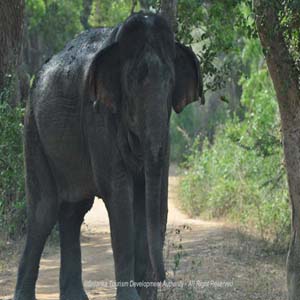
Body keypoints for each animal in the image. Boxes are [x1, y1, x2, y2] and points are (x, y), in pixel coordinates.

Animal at [14, 10, 204, 300]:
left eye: (171, 82)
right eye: (134, 81)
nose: (163, 279)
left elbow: (150, 193)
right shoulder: (98, 117)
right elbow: (119, 194)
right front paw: (132, 298)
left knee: (74, 211)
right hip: (33, 128)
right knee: (44, 211)